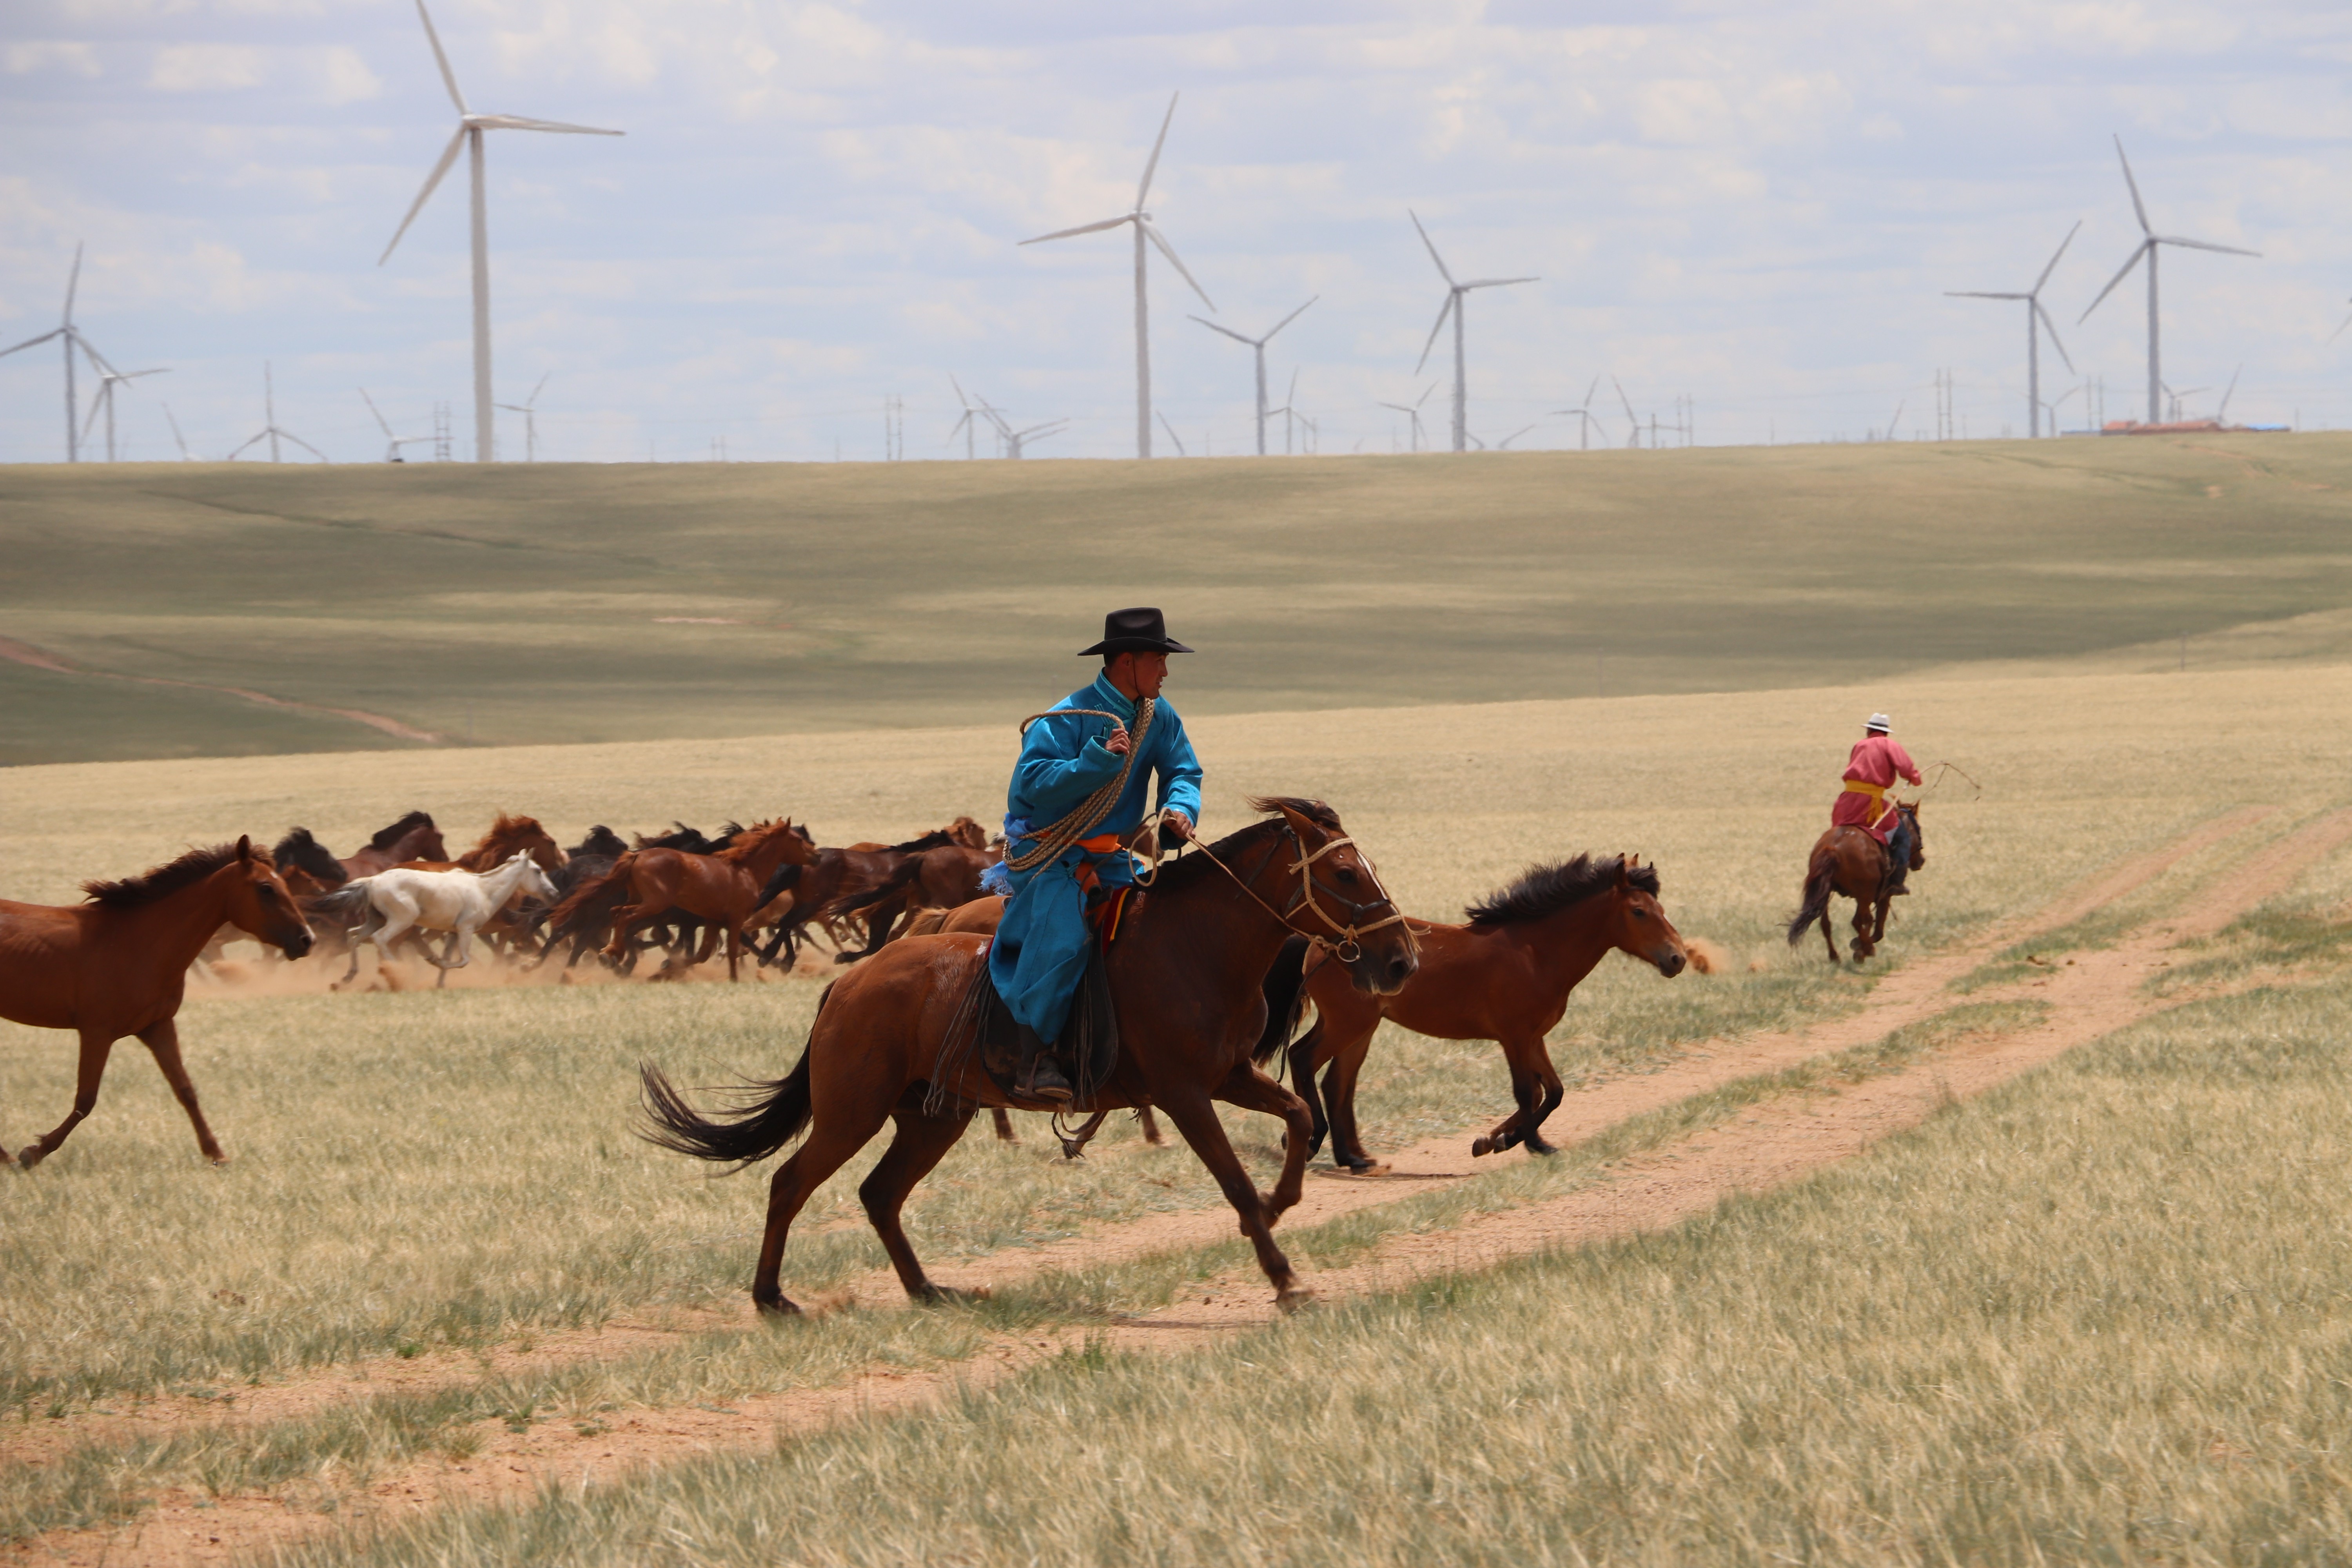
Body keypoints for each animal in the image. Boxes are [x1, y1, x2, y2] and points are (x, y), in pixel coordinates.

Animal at [0, 846, 315, 1166]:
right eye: (266, 888)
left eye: (285, 884)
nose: (307, 940)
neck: (137, 943)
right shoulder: (96, 1032)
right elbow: (86, 1100)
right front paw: (34, 1152)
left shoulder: (157, 1027)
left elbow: (185, 1090)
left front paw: (216, 1153)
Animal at [315, 851, 557, 987]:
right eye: (538, 871)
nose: (554, 893)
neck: (484, 890)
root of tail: (373, 881)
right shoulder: (466, 930)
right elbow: (463, 960)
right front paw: (434, 963)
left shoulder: (453, 933)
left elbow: (450, 957)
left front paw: (439, 980)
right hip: (400, 922)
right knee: (380, 940)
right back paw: (397, 975)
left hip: (375, 920)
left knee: (354, 936)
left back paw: (347, 978)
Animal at [644, 799, 1411, 1316]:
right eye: (1345, 872)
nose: (1402, 958)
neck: (1195, 947)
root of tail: (850, 985)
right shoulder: (1185, 1094)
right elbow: (1235, 1183)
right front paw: (1284, 1277)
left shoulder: (1230, 1077)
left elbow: (1297, 1119)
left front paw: (1283, 1206)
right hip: (851, 1114)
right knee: (789, 1184)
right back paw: (772, 1297)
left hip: (933, 1118)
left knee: (879, 1195)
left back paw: (928, 1290)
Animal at [1270, 851, 1693, 1171]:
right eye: (1639, 911)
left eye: (1660, 907)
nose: (1678, 958)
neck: (1536, 953)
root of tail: (1322, 942)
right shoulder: (1514, 1036)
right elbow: (1528, 1093)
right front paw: (1517, 1142)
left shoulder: (1534, 1036)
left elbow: (1553, 1091)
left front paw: (1506, 1140)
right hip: (1348, 1024)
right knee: (1304, 1059)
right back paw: (1311, 1141)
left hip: (1360, 1028)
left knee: (1337, 1083)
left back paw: (1355, 1157)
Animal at [1788, 804, 1919, 964]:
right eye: (1918, 828)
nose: (1921, 861)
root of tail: (1833, 848)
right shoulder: (1883, 896)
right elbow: (1878, 928)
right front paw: (1860, 948)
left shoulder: (1863, 897)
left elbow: (1869, 921)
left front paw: (1859, 946)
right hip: (1864, 895)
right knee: (1859, 921)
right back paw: (1867, 949)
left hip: (1826, 893)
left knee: (1826, 924)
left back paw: (1835, 957)